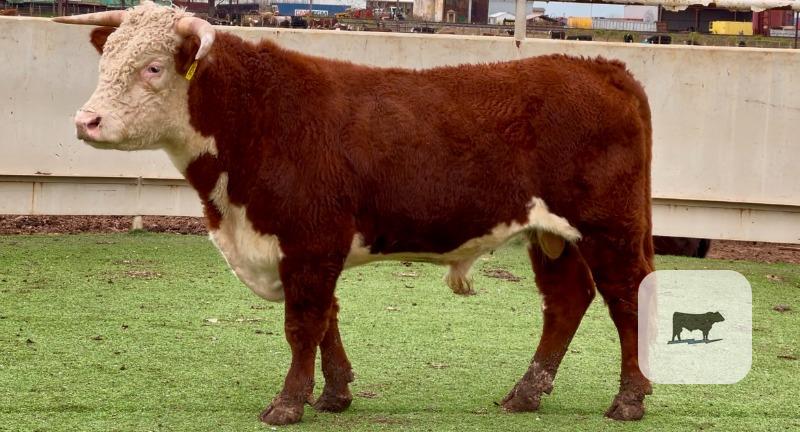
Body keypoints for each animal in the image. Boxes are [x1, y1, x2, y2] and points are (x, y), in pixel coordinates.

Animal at [54, 2, 654, 425]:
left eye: (154, 67)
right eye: (107, 60)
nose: (87, 121)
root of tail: (602, 67)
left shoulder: (309, 240)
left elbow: (303, 324)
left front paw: (287, 404)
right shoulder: (310, 248)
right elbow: (327, 320)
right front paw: (334, 394)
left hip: (609, 228)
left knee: (626, 297)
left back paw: (629, 399)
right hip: (552, 235)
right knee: (566, 300)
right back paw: (526, 393)